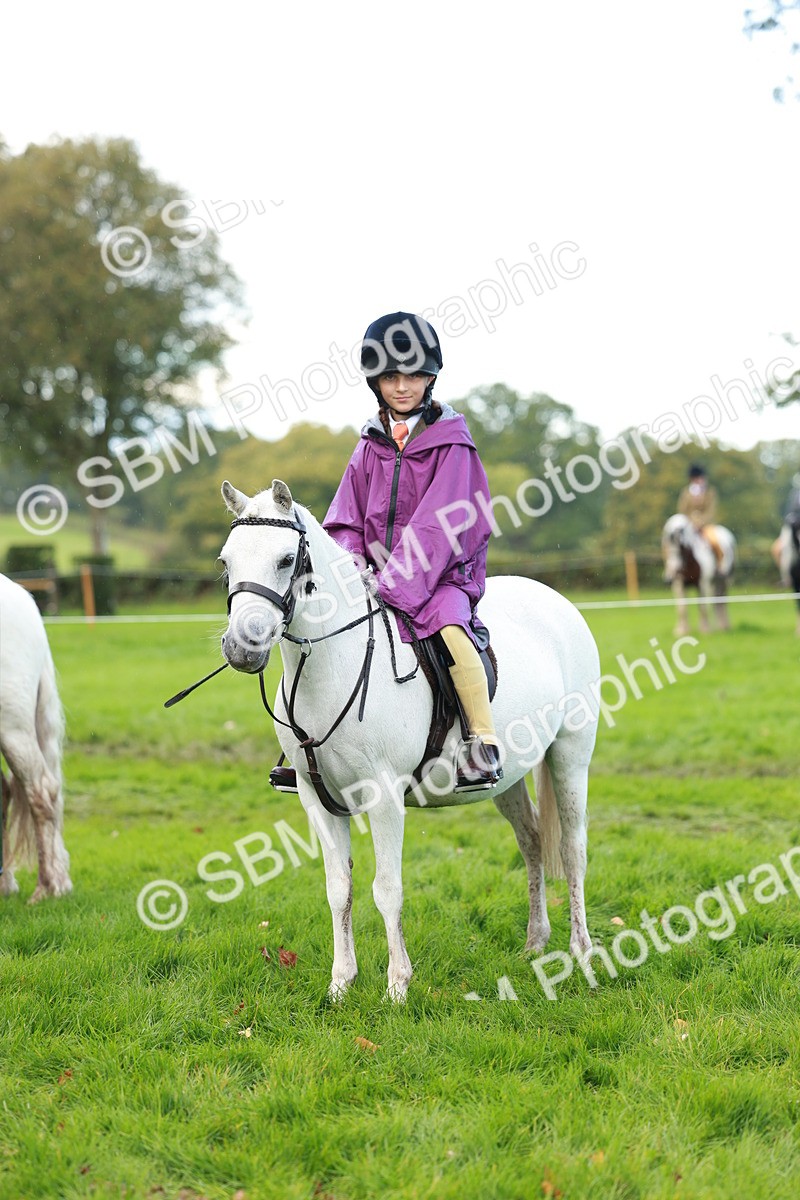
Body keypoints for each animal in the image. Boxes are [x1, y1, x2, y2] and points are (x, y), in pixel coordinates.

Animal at [217, 479, 601, 1002]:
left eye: (284, 559)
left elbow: (387, 889)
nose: (242, 647)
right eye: (226, 561)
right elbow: (338, 889)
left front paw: (397, 985)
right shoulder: (318, 800)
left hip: (570, 757)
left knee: (573, 850)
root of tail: (557, 602)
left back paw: (582, 954)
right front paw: (341, 984)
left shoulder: (384, 798)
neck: (336, 664)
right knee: (533, 841)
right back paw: (536, 943)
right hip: (508, 778)